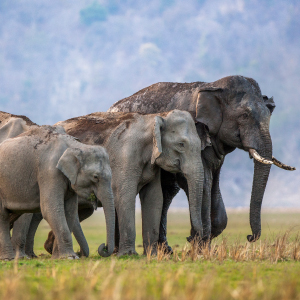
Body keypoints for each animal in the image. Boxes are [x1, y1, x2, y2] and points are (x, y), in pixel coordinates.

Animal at [0, 125, 115, 260]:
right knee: (3, 216)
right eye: (95, 177)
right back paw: (8, 259)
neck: (76, 146)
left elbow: (69, 211)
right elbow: (50, 209)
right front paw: (70, 257)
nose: (104, 247)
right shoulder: (49, 172)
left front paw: (58, 258)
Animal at [52, 110, 205, 255]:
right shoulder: (126, 157)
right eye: (181, 145)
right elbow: (125, 196)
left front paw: (152, 255)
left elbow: (154, 198)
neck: (156, 117)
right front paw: (129, 254)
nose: (189, 238)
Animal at [109, 74, 296, 248]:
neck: (214, 87)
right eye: (244, 115)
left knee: (168, 191)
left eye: (269, 115)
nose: (249, 237)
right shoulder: (192, 133)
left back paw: (165, 250)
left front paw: (201, 242)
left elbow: (213, 183)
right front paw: (199, 245)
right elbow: (202, 181)